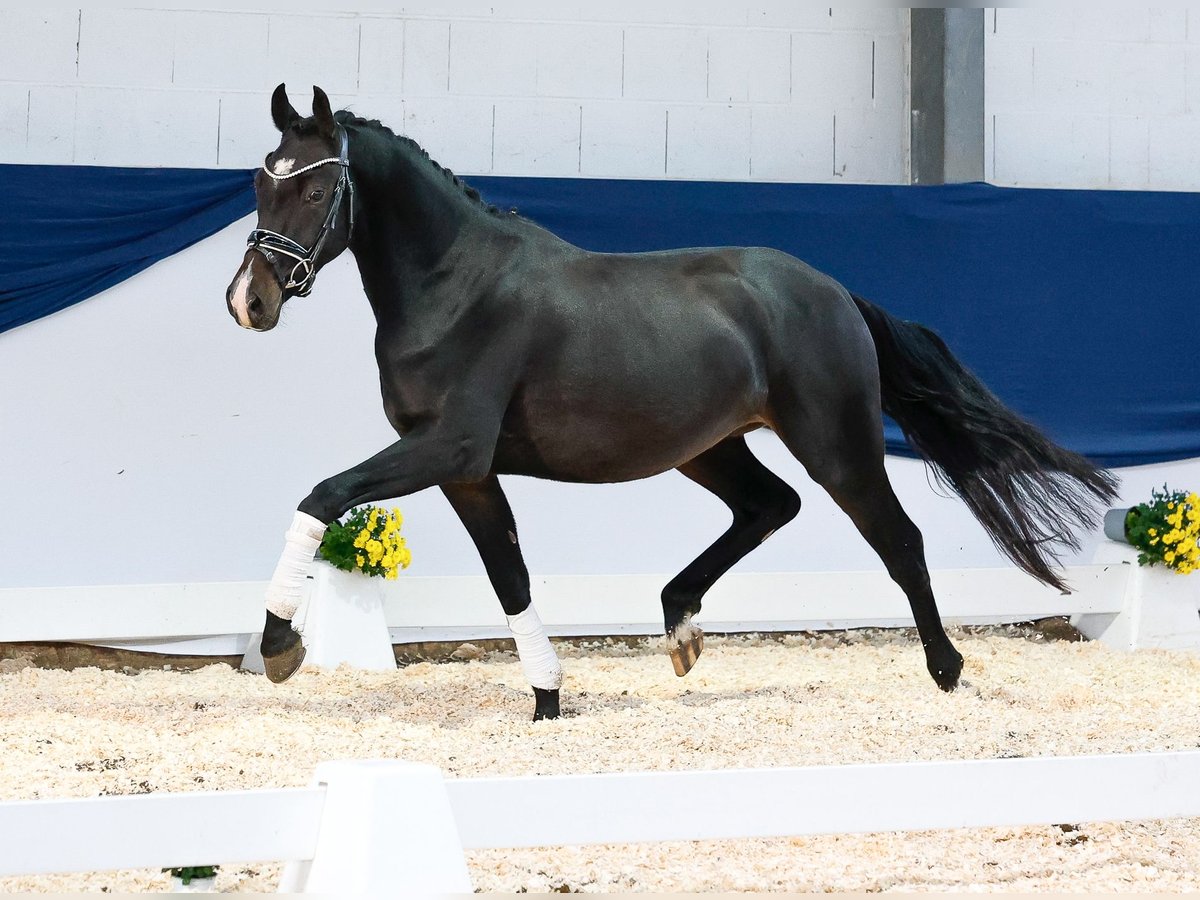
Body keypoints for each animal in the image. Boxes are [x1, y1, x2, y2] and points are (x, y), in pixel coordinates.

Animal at [226, 88, 1113, 724]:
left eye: (317, 186)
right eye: (261, 180)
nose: (250, 301)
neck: (453, 285)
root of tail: (834, 292)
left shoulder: (450, 449)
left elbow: (321, 497)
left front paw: (279, 644)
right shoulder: (465, 473)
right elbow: (509, 575)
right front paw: (548, 699)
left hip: (836, 442)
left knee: (898, 539)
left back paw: (947, 672)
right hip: (710, 447)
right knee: (769, 506)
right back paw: (681, 626)